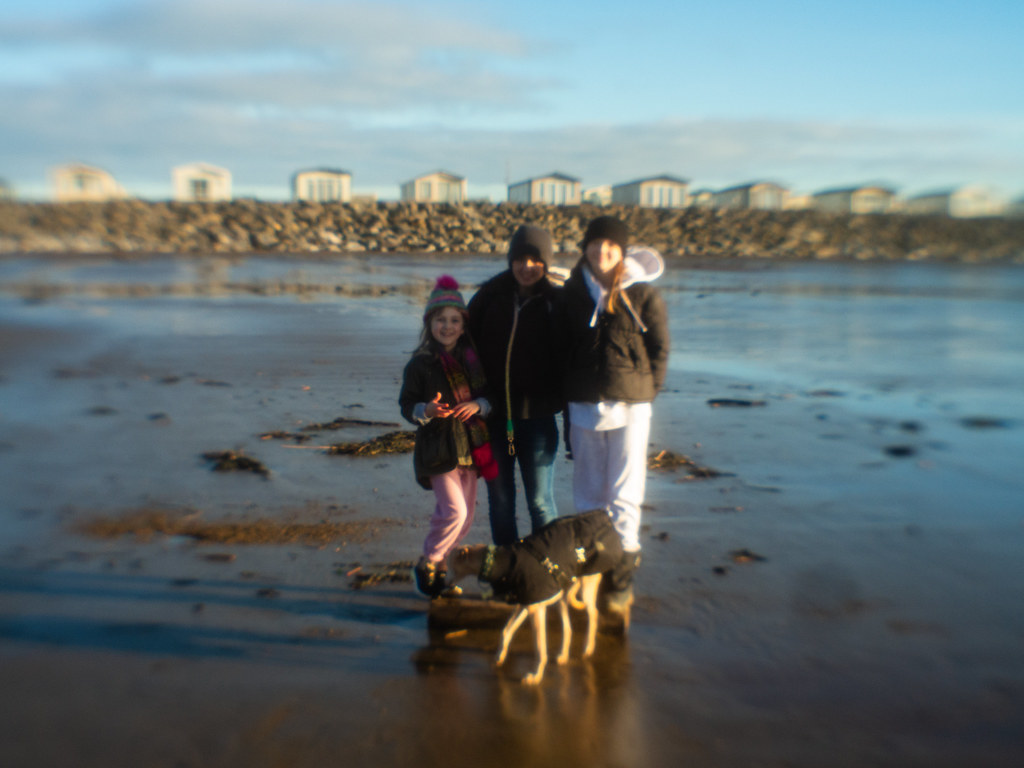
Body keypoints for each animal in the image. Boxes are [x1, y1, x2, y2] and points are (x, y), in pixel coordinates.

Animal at [450, 512, 622, 684]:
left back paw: (588, 647)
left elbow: (540, 647)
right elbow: (506, 630)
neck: (503, 562)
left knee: (593, 614)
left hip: (587, 586)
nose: (443, 582)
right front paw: (500, 656)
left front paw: (535, 675)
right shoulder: (525, 604)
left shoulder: (535, 610)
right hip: (562, 597)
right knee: (568, 628)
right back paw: (563, 655)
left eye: (449, 563)